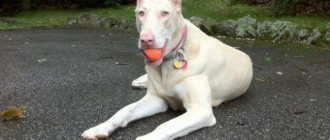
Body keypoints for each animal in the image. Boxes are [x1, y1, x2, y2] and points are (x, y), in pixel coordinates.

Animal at [82, 0, 253, 139]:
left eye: (165, 13)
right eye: (141, 13)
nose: (146, 40)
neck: (169, 60)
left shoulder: (201, 110)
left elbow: (166, 126)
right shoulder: (156, 99)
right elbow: (125, 109)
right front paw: (100, 128)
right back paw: (139, 81)